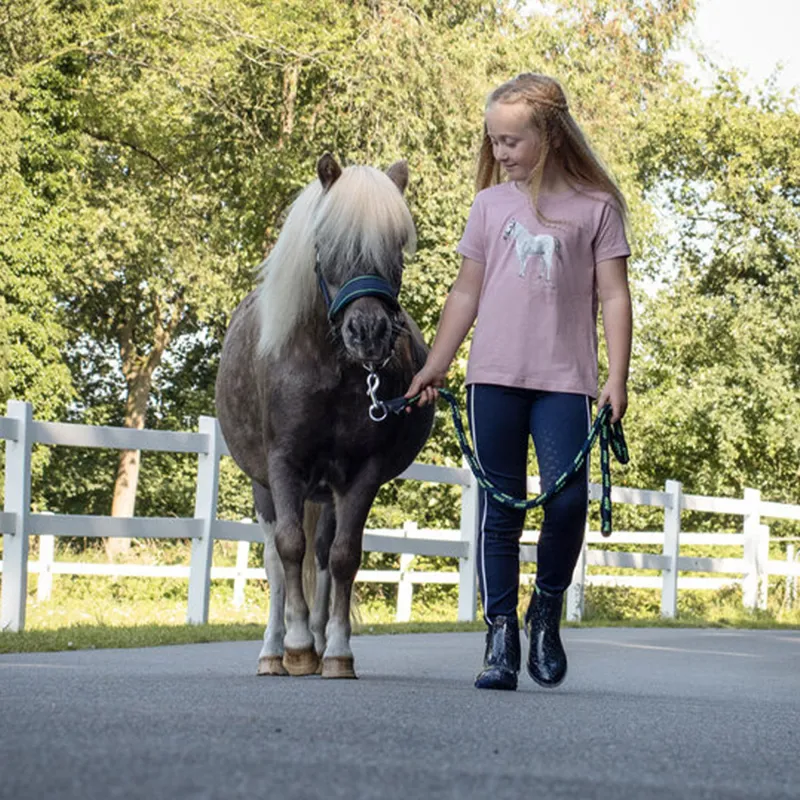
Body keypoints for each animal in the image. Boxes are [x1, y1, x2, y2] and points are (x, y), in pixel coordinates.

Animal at [215, 153, 435, 679]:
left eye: (397, 247)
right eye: (326, 244)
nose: (368, 332)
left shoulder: (360, 473)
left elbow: (342, 557)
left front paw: (335, 650)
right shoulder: (283, 465)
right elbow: (288, 548)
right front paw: (294, 646)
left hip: (327, 491)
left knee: (321, 556)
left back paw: (316, 643)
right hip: (265, 487)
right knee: (276, 561)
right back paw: (274, 651)